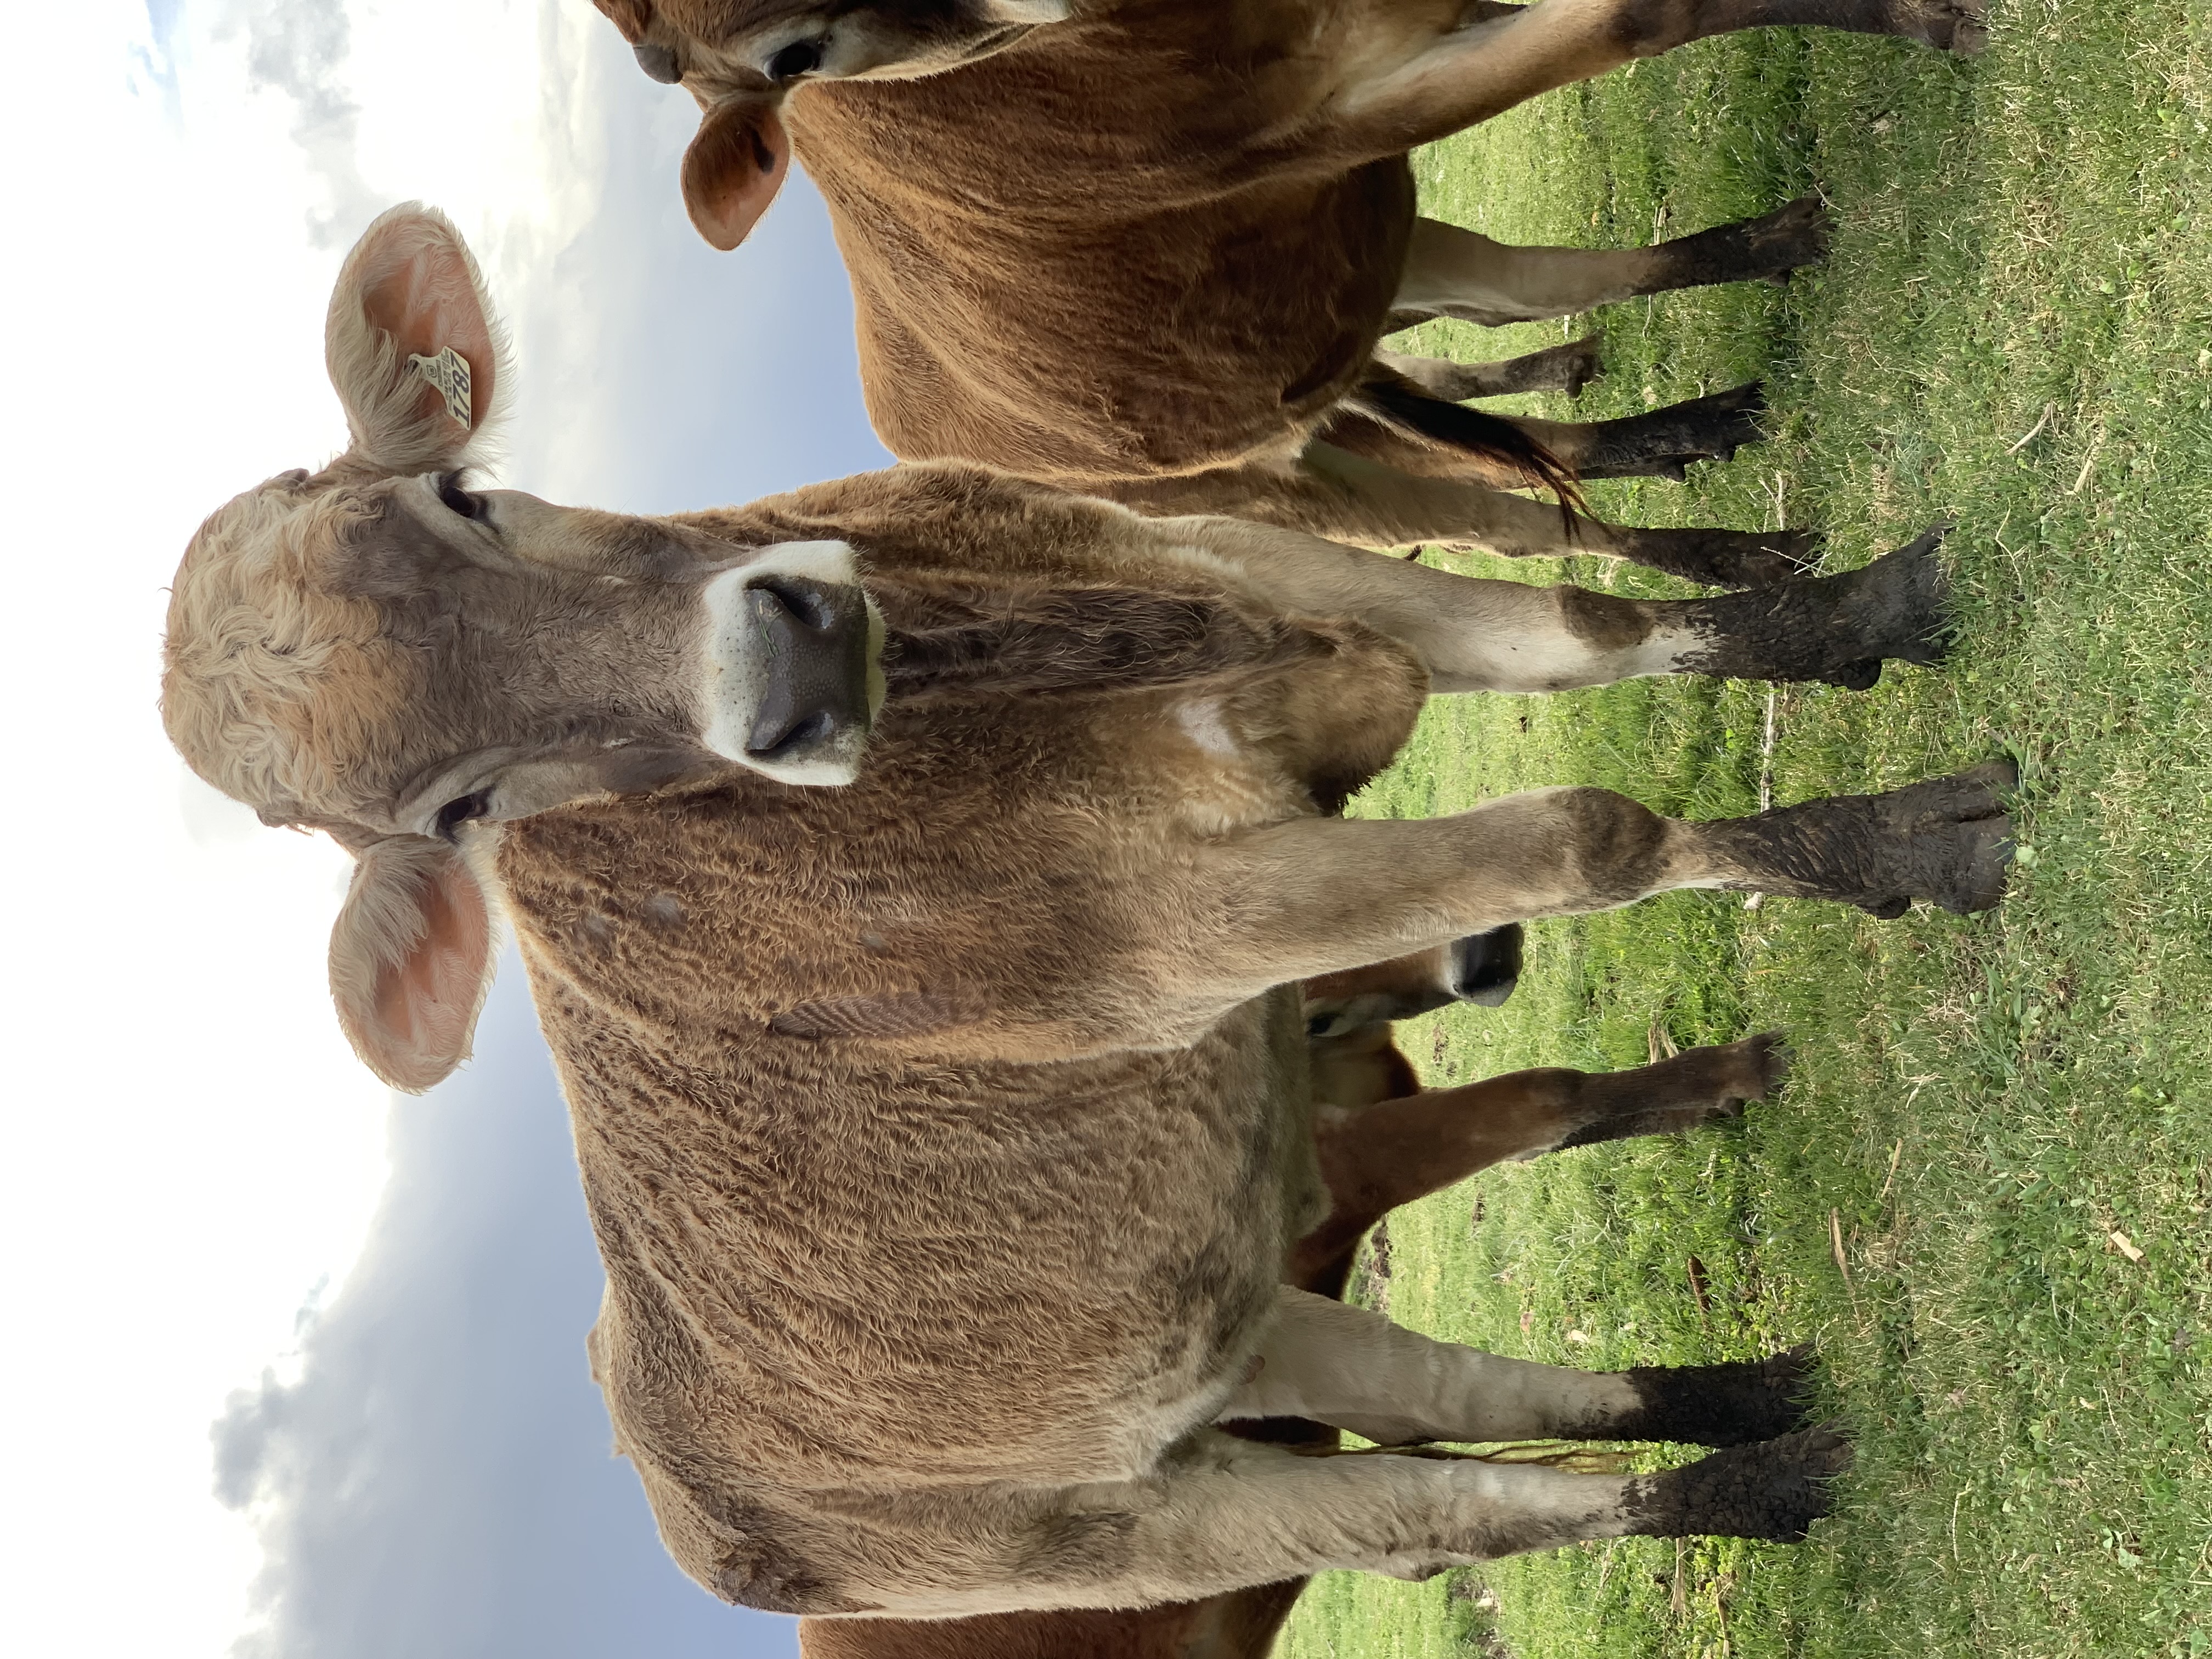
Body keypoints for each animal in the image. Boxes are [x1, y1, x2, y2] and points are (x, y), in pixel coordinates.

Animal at [160, 205, 2012, 1619]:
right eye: (452, 814)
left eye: (467, 497)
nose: (783, 671)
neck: (1016, 668)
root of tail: (690, 1502)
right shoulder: (1202, 925)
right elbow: (1592, 834)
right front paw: (1901, 846)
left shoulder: (1261, 567)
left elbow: (1586, 630)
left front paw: (1851, 620)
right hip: (1152, 1522)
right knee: (1456, 1511)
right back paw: (1779, 1474)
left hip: (1239, 1330)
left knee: (1462, 1395)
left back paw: (1751, 1392)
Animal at [593, 0, 1978, 583]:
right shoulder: (1358, 109)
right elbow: (1638, 21)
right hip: (1315, 481)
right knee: (1520, 520)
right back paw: (1737, 553)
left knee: (1517, 335)